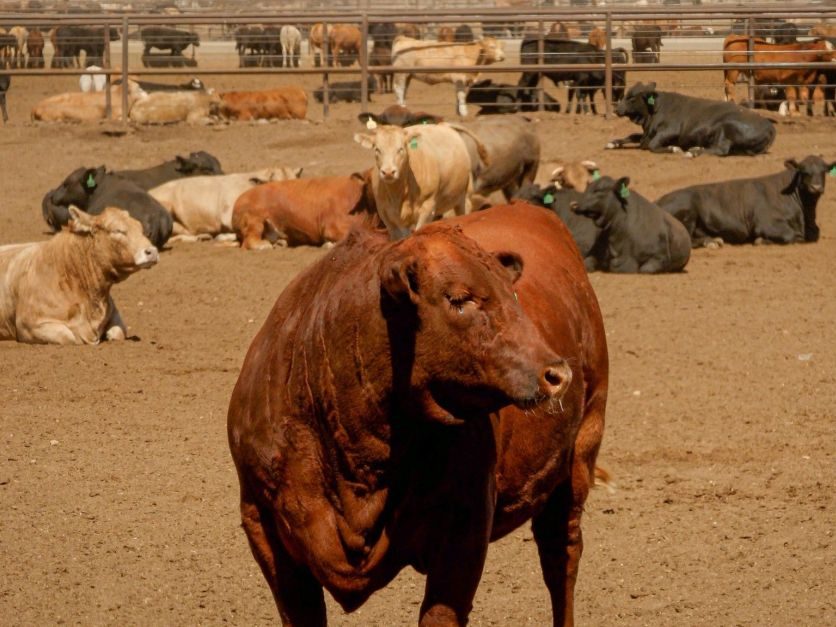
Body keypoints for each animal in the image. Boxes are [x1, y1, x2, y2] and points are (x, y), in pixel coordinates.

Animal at [0, 207, 158, 345]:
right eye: (117, 230)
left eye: (141, 229)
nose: (152, 251)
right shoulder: (28, 325)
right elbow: (70, 337)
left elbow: (119, 332)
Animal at [228, 202, 607, 627]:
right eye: (458, 299)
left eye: (513, 295)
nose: (557, 374)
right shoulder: (261, 522)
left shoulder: (465, 527)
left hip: (581, 454)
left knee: (561, 557)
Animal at [354, 123, 484, 238]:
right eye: (377, 149)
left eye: (401, 149)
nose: (388, 172)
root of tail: (443, 125)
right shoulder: (387, 217)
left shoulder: (427, 208)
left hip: (463, 198)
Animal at [605, 82, 776, 157]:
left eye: (632, 97)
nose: (616, 109)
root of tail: (769, 125)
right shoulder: (647, 134)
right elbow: (634, 136)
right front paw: (613, 143)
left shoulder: (670, 130)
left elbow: (652, 145)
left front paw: (673, 148)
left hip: (726, 126)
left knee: (720, 150)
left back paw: (694, 151)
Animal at [655, 155, 834, 246]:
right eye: (804, 171)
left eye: (823, 171)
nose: (816, 187)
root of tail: (657, 202)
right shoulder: (766, 223)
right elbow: (789, 236)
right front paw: (761, 240)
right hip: (688, 212)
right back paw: (711, 242)